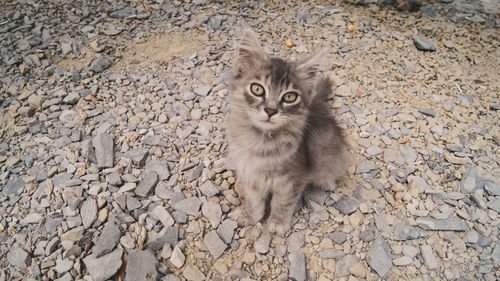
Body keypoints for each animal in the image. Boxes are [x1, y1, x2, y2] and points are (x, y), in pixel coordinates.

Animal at [225, 29, 350, 234]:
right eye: (257, 89)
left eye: (289, 97)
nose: (270, 110)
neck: (261, 141)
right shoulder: (251, 174)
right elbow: (254, 200)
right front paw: (250, 216)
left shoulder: (292, 179)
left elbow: (282, 203)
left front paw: (277, 222)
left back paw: (327, 182)